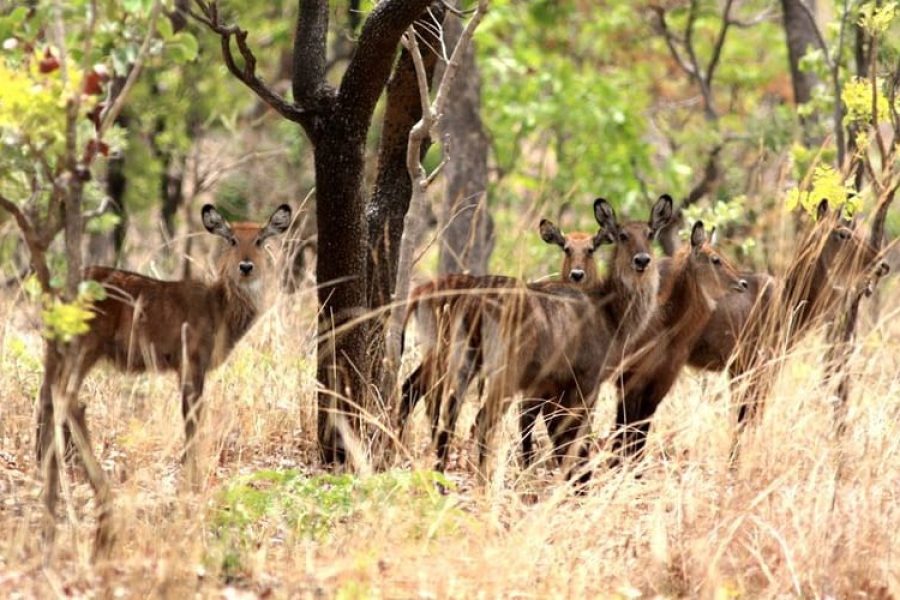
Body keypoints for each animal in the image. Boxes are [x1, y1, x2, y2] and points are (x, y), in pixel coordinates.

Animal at [37, 204, 292, 490]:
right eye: (232, 240)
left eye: (259, 240)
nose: (246, 266)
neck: (219, 308)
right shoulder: (191, 361)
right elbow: (192, 417)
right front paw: (191, 476)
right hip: (84, 348)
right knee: (66, 397)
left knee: (48, 393)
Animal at [396, 218, 600, 466]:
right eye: (567, 248)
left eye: (591, 249)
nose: (577, 274)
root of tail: (421, 291)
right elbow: (531, 421)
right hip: (456, 358)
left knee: (419, 392)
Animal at [608, 199, 888, 462]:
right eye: (843, 233)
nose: (883, 264)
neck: (786, 303)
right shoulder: (754, 369)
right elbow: (745, 425)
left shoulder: (741, 371)